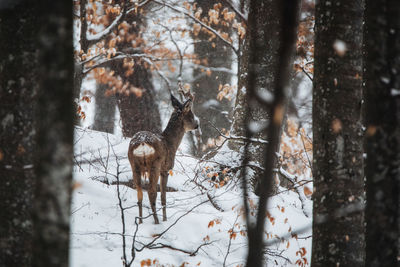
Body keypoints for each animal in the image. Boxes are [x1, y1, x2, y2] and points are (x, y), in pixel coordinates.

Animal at [127, 91, 198, 224]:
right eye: (191, 115)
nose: (197, 125)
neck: (170, 143)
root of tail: (142, 143)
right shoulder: (166, 169)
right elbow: (163, 196)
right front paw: (165, 219)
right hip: (155, 163)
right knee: (151, 191)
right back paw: (157, 221)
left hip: (134, 164)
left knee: (139, 192)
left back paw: (140, 221)